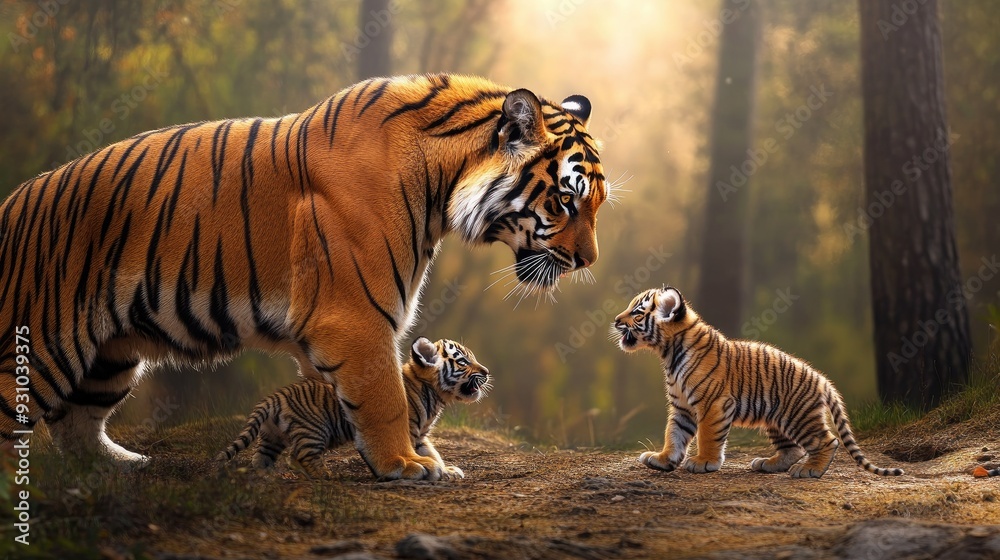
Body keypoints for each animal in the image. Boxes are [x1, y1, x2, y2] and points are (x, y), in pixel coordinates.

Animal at [217, 337, 490, 480]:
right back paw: (325, 475)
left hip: (272, 436)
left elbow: (433, 453)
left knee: (261, 457)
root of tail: (275, 397)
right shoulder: (409, 430)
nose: (486, 372)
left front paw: (446, 470)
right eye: (463, 362)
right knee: (300, 455)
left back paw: (265, 475)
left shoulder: (421, 435)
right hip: (314, 429)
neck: (434, 394)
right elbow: (414, 453)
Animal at [612, 286, 904, 478]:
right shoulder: (681, 406)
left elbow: (707, 435)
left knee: (827, 441)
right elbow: (674, 434)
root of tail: (822, 380)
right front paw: (662, 460)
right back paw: (768, 464)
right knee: (793, 449)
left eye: (637, 314)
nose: (615, 320)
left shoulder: (713, 403)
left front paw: (704, 462)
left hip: (798, 416)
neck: (668, 353)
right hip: (777, 419)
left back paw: (809, 470)